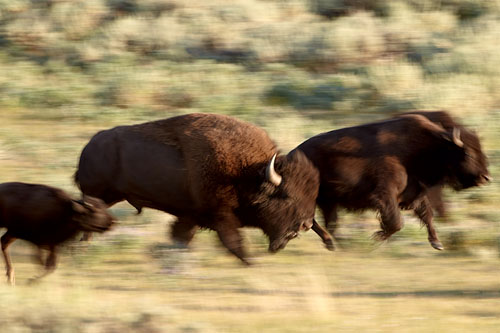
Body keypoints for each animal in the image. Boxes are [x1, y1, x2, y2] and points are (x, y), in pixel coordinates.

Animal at [74, 113, 320, 264]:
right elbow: (233, 240)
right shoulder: (220, 214)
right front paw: (250, 262)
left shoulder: (190, 215)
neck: (247, 172)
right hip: (98, 195)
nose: (306, 224)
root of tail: (88, 146)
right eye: (286, 195)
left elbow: (182, 235)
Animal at [294, 111, 490, 249]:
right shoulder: (385, 194)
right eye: (468, 153)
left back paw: (335, 244)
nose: (485, 177)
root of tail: (295, 151)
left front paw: (437, 244)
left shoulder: (415, 192)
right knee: (311, 220)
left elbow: (427, 215)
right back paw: (336, 244)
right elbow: (397, 221)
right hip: (317, 199)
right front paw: (376, 238)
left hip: (328, 201)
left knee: (320, 221)